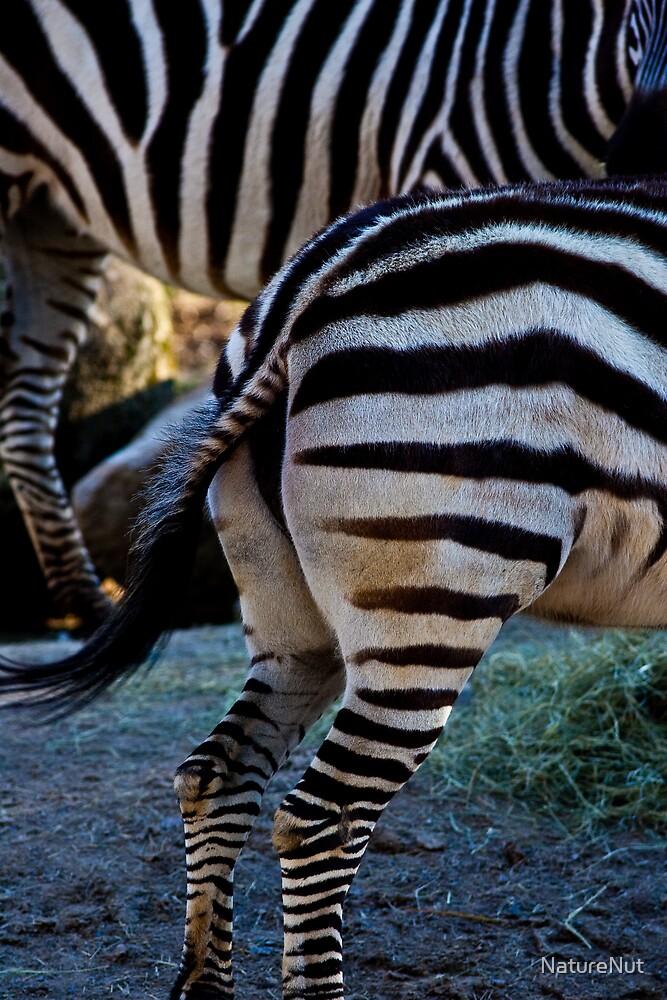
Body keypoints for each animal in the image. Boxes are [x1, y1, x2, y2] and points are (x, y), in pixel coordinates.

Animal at [2, 174, 667, 998]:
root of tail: (307, 292)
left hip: (293, 620)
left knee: (215, 775)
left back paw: (205, 984)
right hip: (432, 607)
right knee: (322, 817)